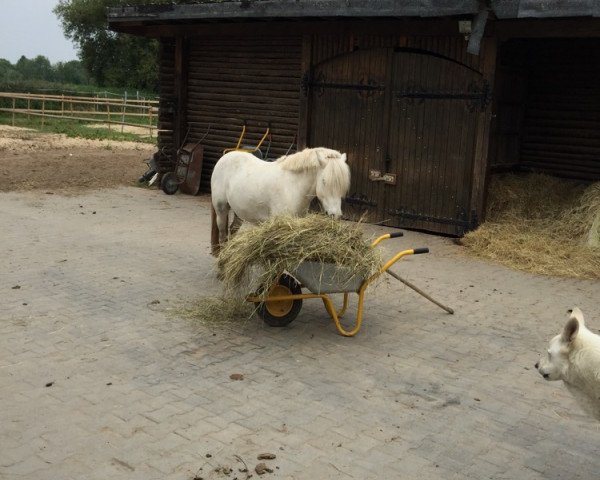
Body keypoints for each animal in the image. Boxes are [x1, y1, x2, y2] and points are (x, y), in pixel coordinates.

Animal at [211, 147, 352, 248]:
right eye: (324, 181)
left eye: (342, 186)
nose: (336, 215)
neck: (293, 186)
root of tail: (225, 157)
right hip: (221, 209)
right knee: (222, 234)